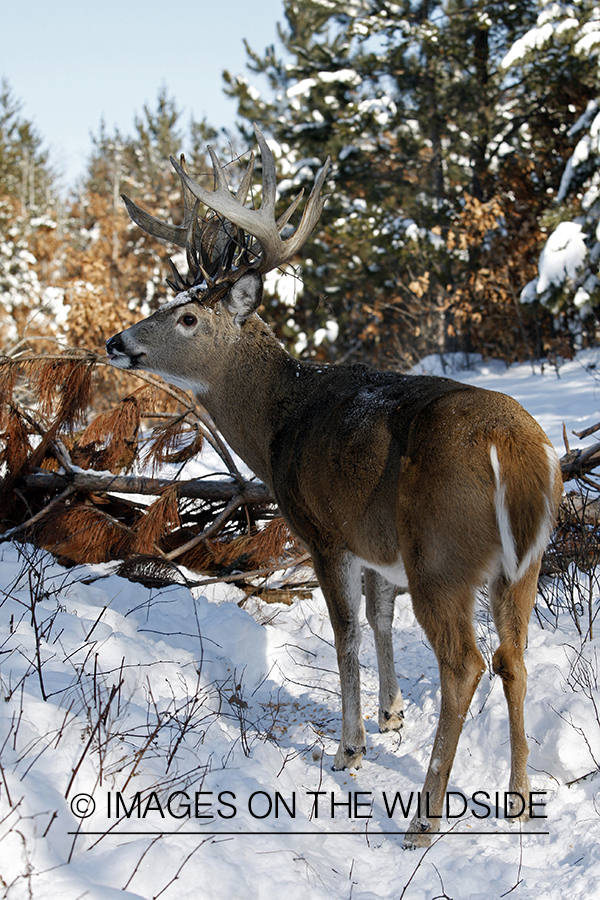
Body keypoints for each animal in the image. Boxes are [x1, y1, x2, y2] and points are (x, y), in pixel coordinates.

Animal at [106, 126, 564, 852]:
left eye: (187, 318)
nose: (115, 341)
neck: (275, 422)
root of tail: (516, 453)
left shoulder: (323, 530)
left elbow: (346, 635)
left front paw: (349, 749)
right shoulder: (374, 543)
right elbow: (378, 620)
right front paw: (390, 714)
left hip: (440, 554)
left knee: (466, 664)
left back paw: (424, 820)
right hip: (521, 565)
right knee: (513, 658)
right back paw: (519, 803)